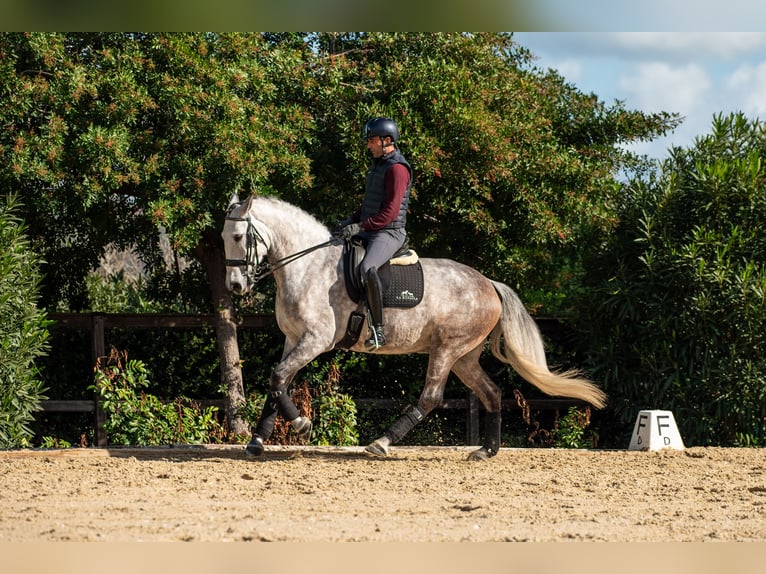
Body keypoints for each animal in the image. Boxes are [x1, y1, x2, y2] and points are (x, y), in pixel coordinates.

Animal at [222, 196, 608, 462]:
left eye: (239, 236)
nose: (236, 286)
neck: (308, 266)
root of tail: (489, 284)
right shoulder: (293, 339)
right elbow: (277, 382)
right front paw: (257, 441)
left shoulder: (315, 340)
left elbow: (278, 378)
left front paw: (301, 425)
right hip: (465, 357)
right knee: (492, 393)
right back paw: (486, 451)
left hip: (447, 350)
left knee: (432, 396)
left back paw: (381, 442)